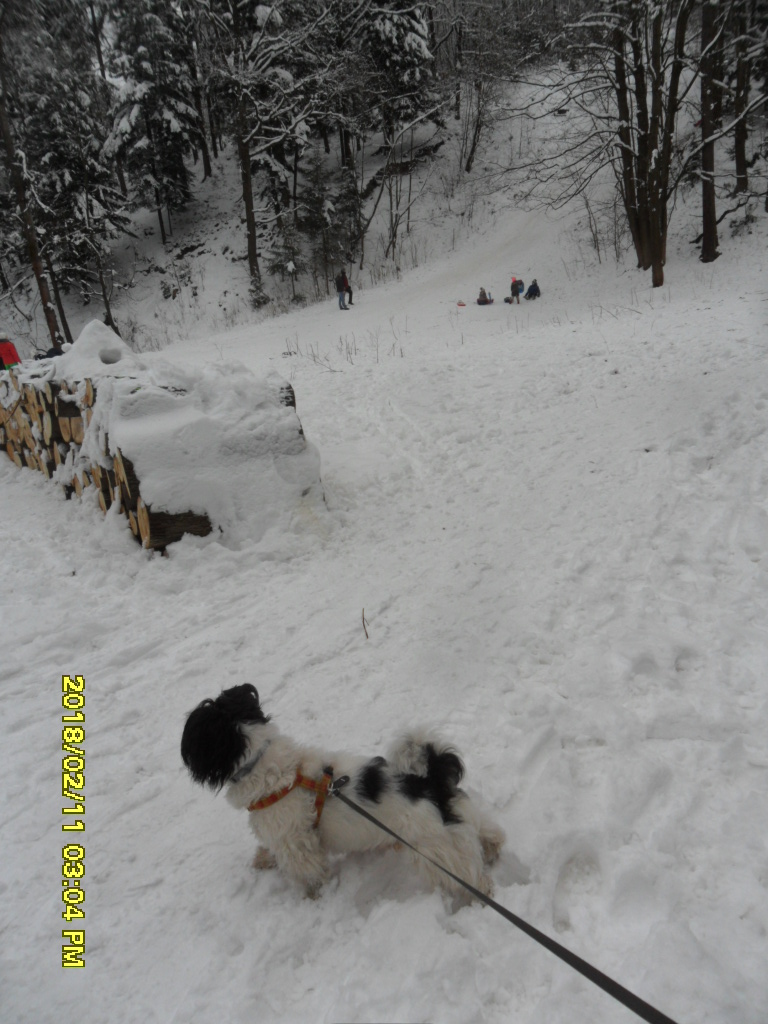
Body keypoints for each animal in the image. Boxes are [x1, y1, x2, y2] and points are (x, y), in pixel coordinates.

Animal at [181, 684, 505, 900]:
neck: (264, 761)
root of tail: (430, 781)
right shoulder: (283, 838)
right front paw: (263, 859)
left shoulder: (296, 845)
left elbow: (310, 874)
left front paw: (313, 898)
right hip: (458, 821)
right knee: (489, 832)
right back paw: (492, 851)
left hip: (435, 851)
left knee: (473, 878)